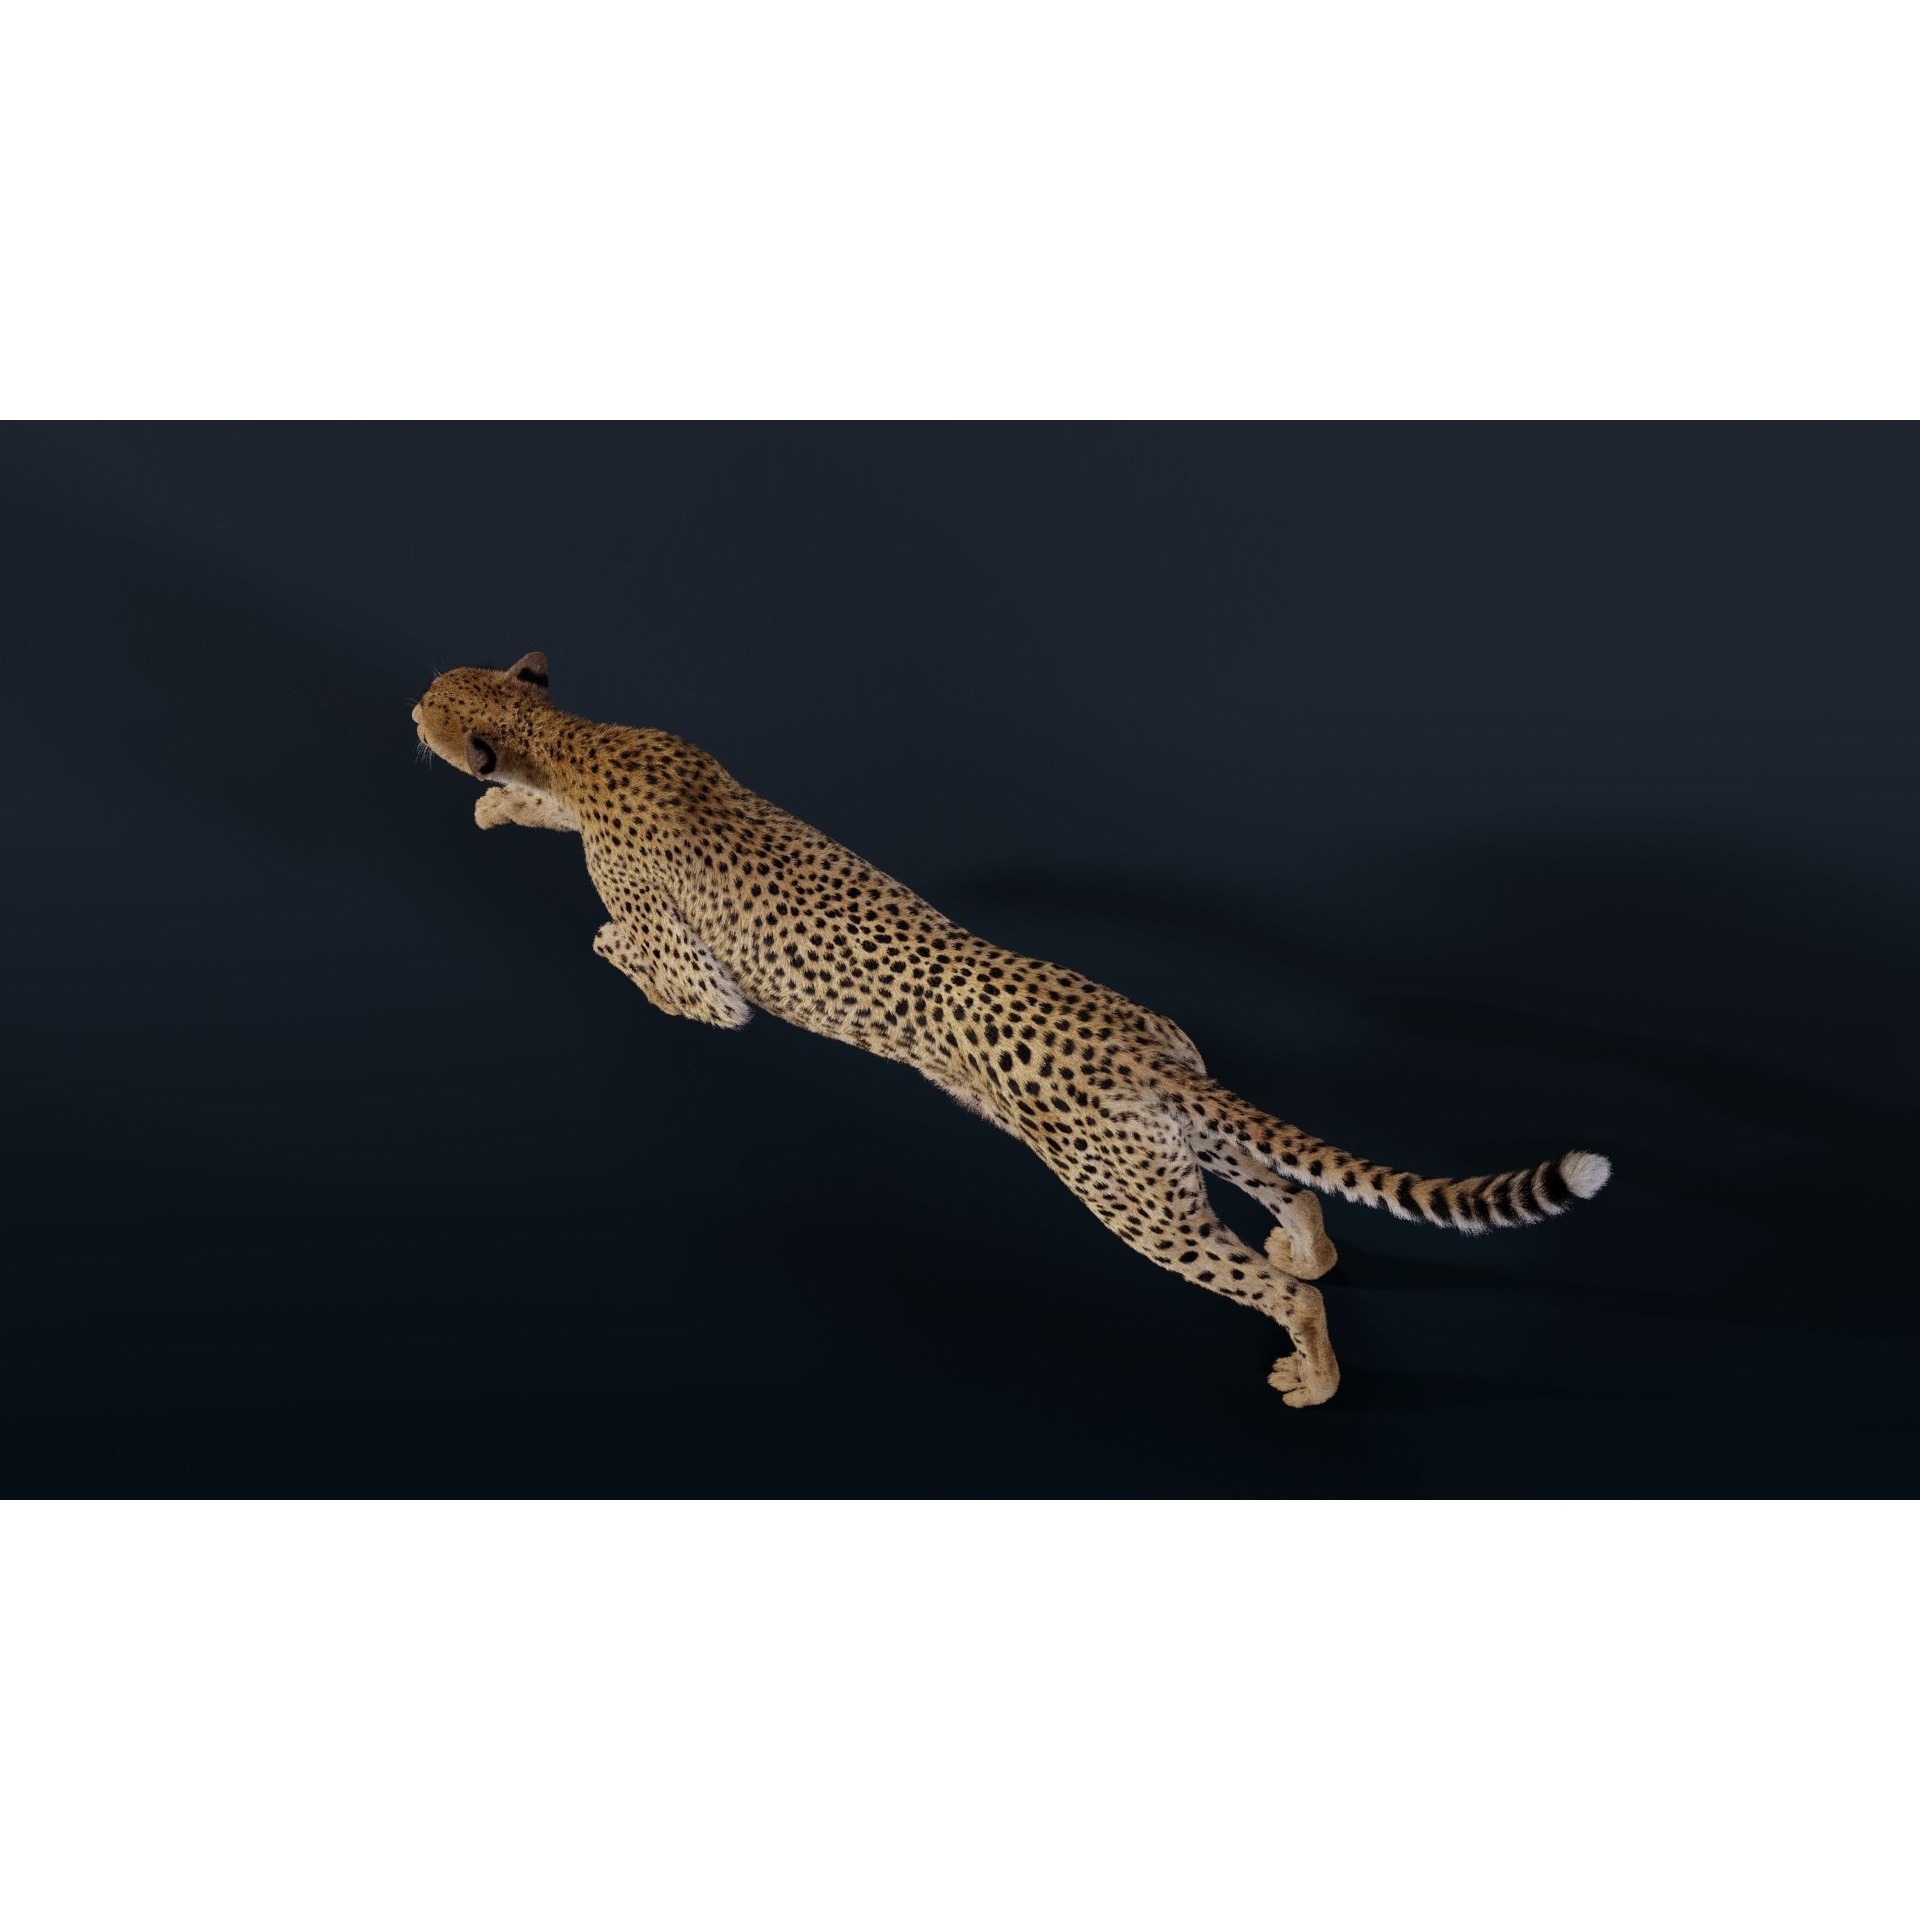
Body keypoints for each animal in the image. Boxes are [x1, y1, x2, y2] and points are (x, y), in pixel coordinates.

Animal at [413, 652, 1611, 1407]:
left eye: (428, 698)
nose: (407, 706)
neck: (572, 737)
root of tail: (1132, 1040)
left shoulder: (715, 993)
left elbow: (644, 959)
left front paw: (595, 929)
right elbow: (537, 809)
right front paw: (500, 804)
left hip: (1128, 1201)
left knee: (1269, 1287)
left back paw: (1312, 1379)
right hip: (1175, 1144)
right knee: (1290, 1183)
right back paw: (1307, 1246)